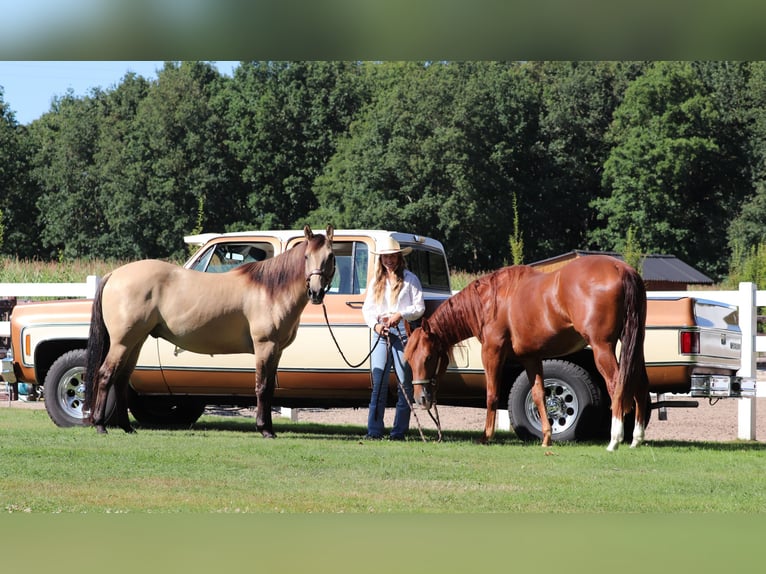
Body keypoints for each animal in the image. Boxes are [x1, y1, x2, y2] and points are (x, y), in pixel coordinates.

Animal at [84, 225, 335, 437]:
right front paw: (265, 430)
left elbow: (270, 388)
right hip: (122, 342)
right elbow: (262, 387)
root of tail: (114, 275)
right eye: (306, 257)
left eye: (330, 257)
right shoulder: (265, 346)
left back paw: (127, 428)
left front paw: (268, 428)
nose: (315, 293)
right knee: (105, 375)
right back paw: (100, 425)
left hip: (136, 341)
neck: (270, 290)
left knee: (121, 379)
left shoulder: (277, 351)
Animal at [404, 255, 649, 451]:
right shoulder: (530, 358)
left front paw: (486, 436)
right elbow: (539, 394)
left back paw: (614, 440)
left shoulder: (492, 352)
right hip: (635, 346)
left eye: (429, 357)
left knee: (617, 384)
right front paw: (546, 438)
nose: (421, 398)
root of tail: (621, 268)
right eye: (408, 360)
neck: (489, 301)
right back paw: (636, 439)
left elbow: (492, 394)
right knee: (639, 385)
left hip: (602, 347)